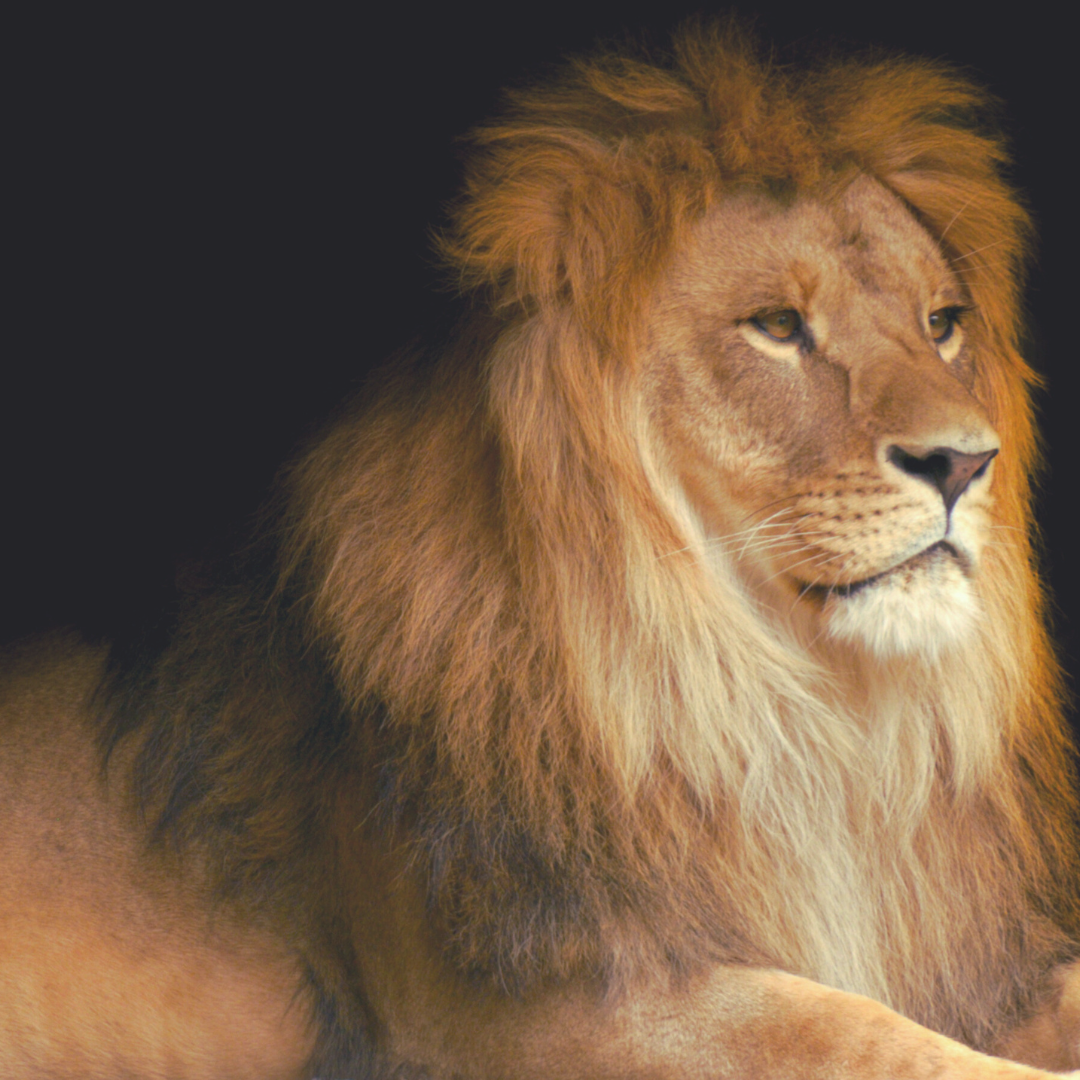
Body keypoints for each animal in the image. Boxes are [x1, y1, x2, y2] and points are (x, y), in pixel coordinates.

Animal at [2, 22, 1079, 1079]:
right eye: (777, 326)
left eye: (942, 324)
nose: (966, 462)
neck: (781, 705)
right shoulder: (520, 1009)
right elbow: (843, 1030)